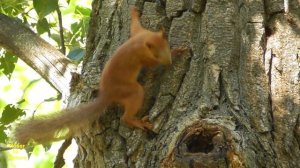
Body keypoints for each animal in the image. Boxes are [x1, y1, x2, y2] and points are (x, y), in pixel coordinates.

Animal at [15, 7, 185, 144]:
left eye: (166, 45)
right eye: (156, 55)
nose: (169, 62)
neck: (141, 41)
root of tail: (107, 95)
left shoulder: (140, 32)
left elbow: (135, 26)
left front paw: (134, 12)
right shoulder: (143, 57)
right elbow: (152, 66)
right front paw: (176, 53)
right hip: (131, 90)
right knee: (126, 116)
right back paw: (138, 122)